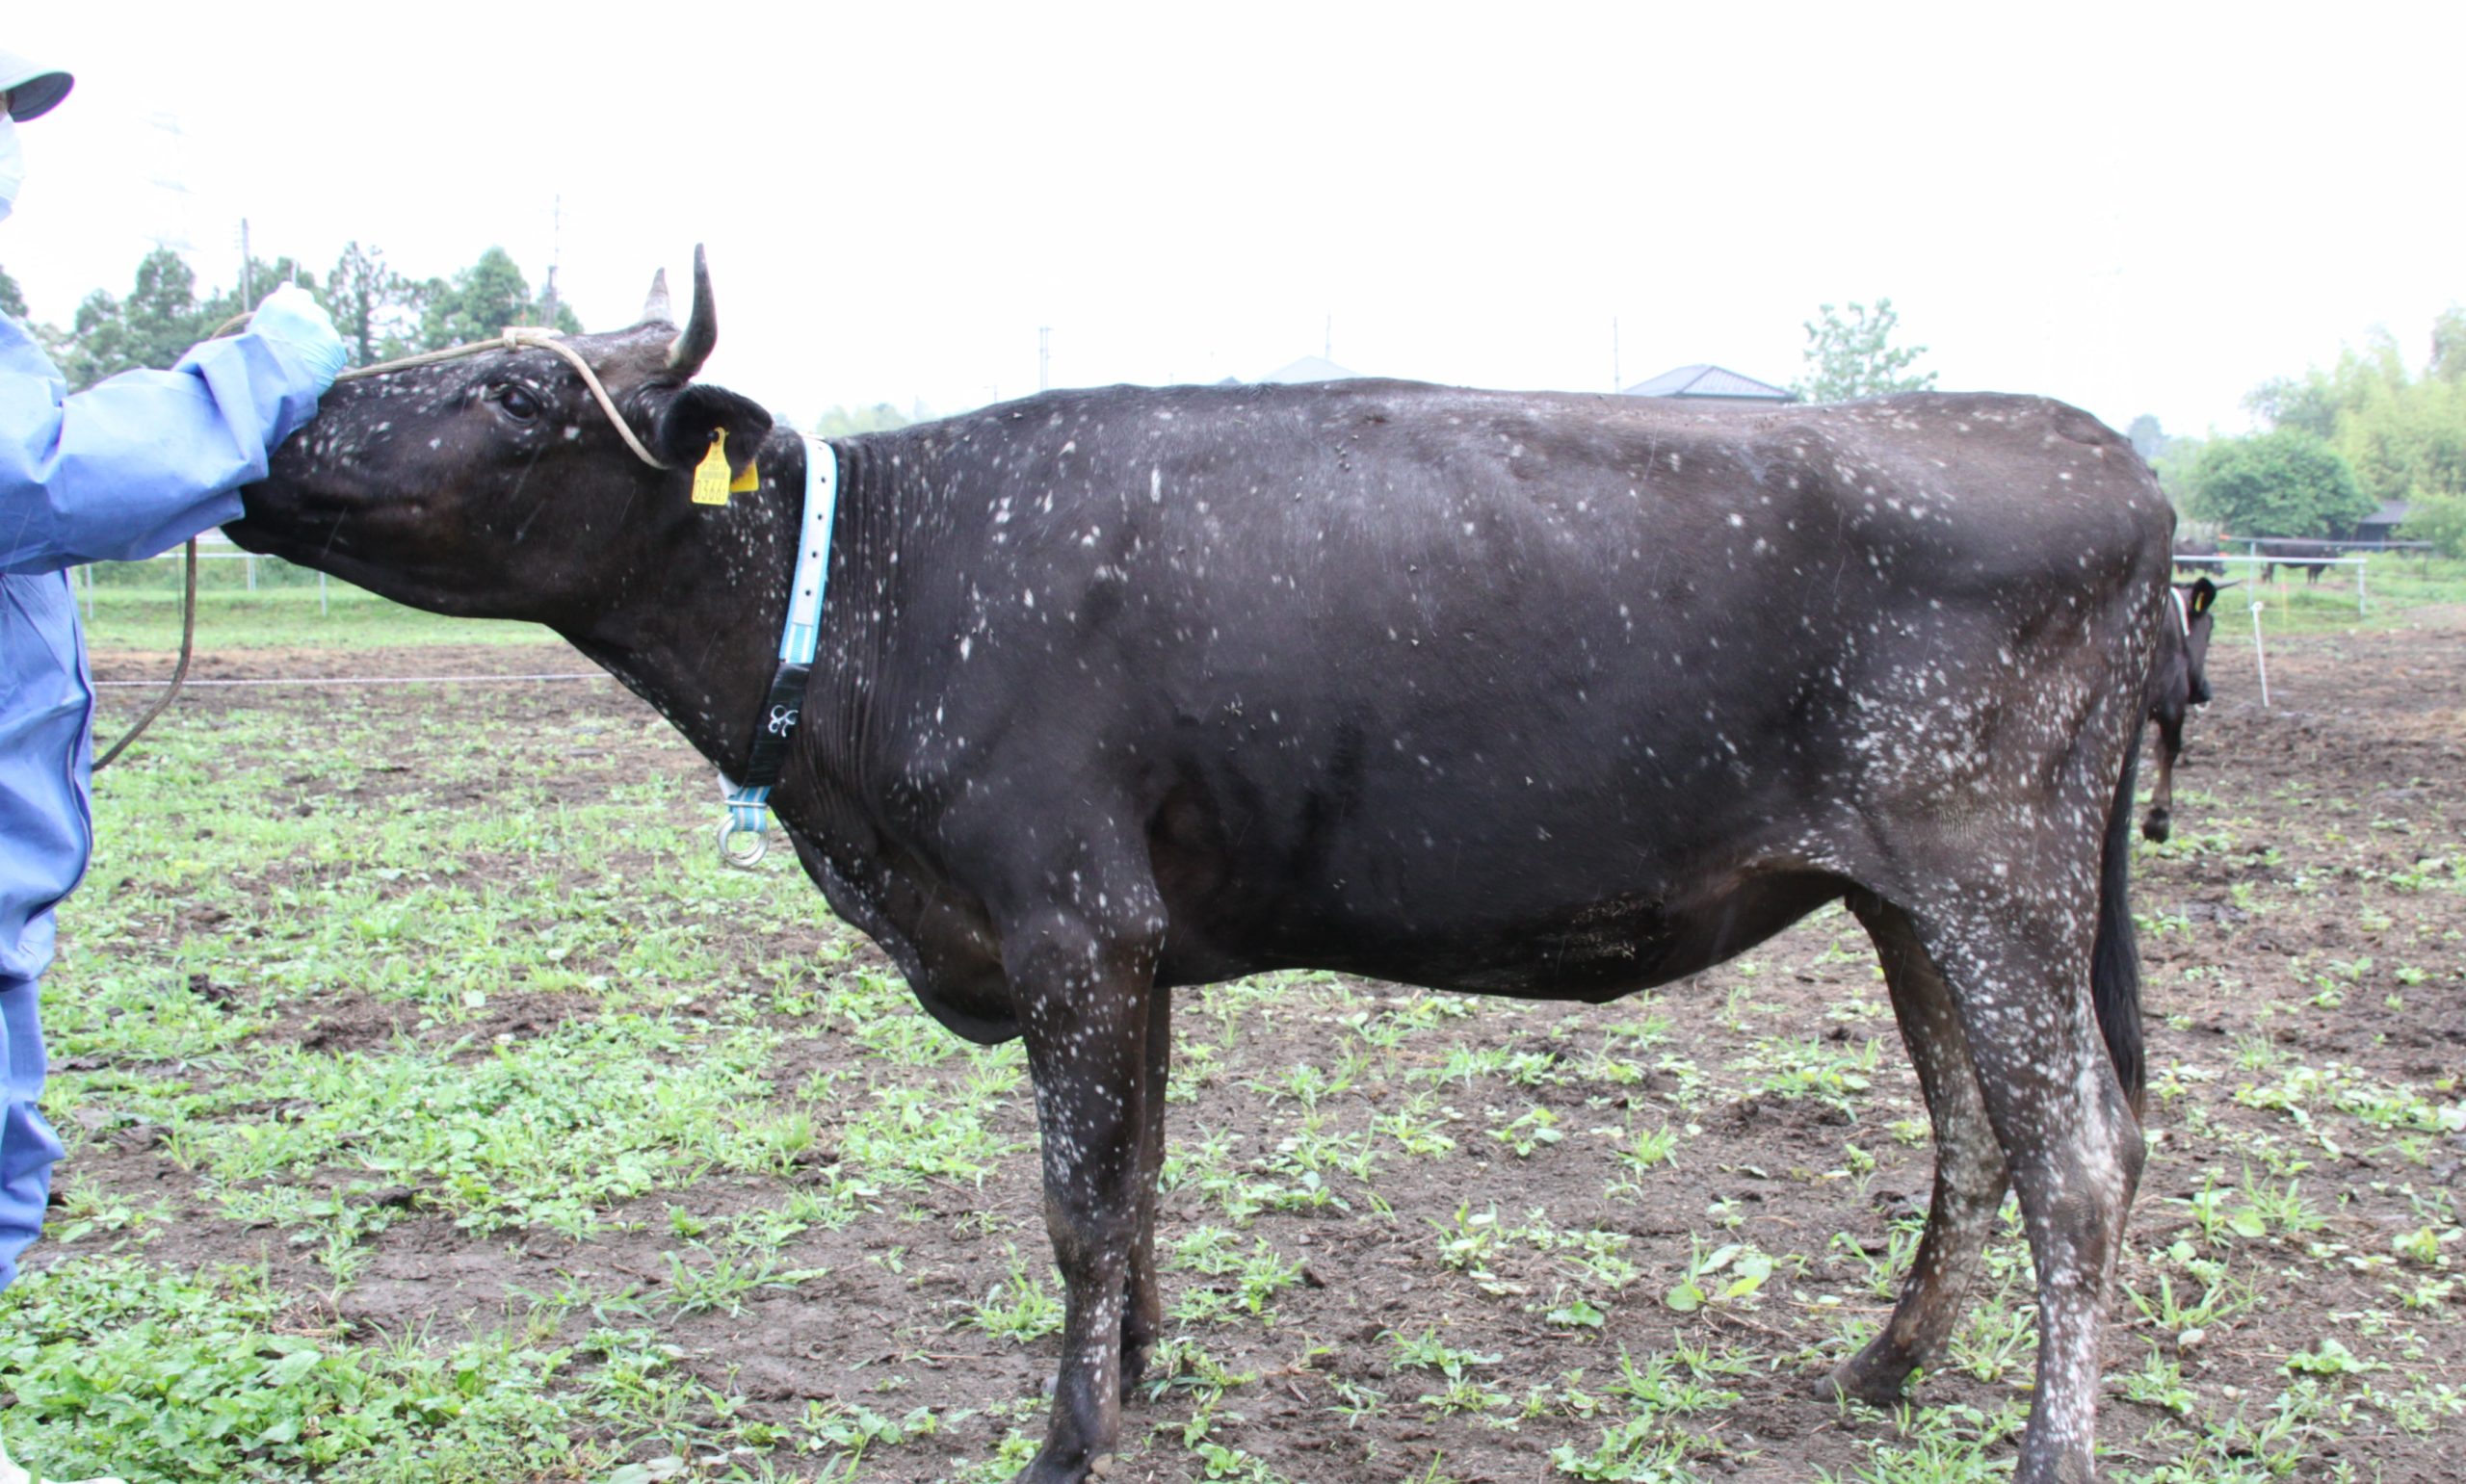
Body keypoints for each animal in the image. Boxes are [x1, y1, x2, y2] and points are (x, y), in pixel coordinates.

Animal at [228, 252, 2177, 1484]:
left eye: (512, 393)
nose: (282, 432)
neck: (878, 609)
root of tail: (2100, 453)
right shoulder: (1132, 941)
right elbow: (1144, 1175)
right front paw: (1141, 1376)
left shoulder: (1069, 920)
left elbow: (1080, 1201)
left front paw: (1066, 1437)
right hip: (1909, 898)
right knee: (1978, 1137)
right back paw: (1887, 1368)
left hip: (1993, 874)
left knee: (2079, 1154)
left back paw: (2045, 1447)